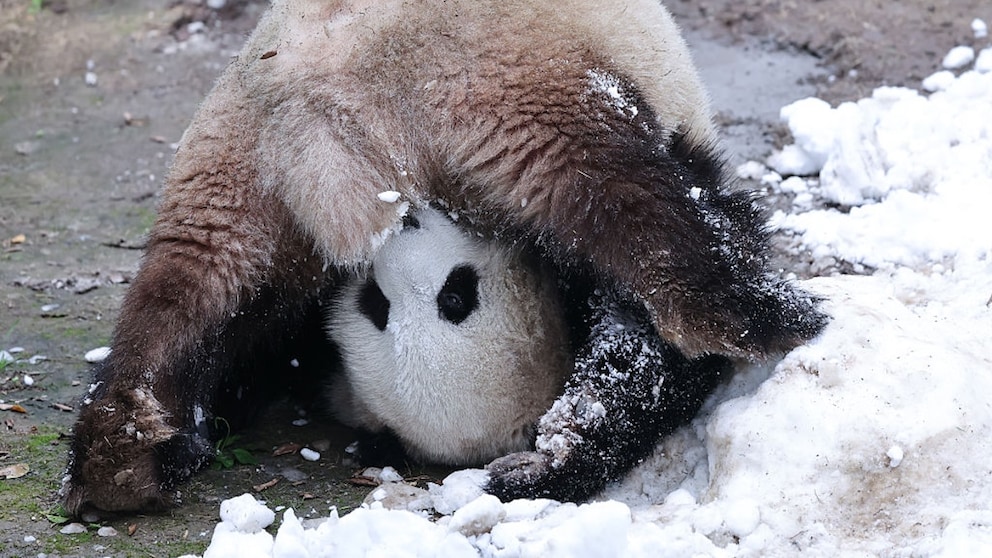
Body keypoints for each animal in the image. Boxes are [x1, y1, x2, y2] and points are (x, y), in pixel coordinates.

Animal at [61, 0, 827, 515]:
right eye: (452, 298)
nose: (409, 221)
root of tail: (323, 112)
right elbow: (633, 353)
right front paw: (549, 462)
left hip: (235, 165)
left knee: (191, 292)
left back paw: (124, 451)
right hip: (506, 84)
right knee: (629, 201)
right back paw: (767, 313)